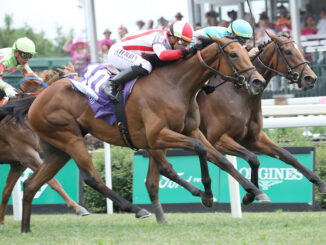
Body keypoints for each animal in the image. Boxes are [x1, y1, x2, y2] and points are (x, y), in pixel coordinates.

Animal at [0, 64, 89, 224]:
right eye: (71, 83)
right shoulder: (28, 155)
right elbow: (53, 181)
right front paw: (79, 208)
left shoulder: (18, 163)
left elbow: (6, 190)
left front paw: (2, 221)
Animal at [21, 36, 268, 232]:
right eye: (233, 54)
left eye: (246, 52)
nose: (258, 81)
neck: (175, 84)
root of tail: (37, 99)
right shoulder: (158, 135)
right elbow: (193, 154)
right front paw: (206, 193)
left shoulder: (192, 131)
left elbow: (221, 160)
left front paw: (253, 192)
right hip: (70, 138)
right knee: (92, 178)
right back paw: (138, 209)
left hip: (57, 150)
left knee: (31, 184)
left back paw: (25, 228)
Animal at [196, 32, 324, 205]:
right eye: (288, 52)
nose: (311, 78)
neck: (239, 95)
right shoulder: (218, 140)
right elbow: (252, 158)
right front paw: (251, 194)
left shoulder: (253, 138)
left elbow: (287, 156)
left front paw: (320, 182)